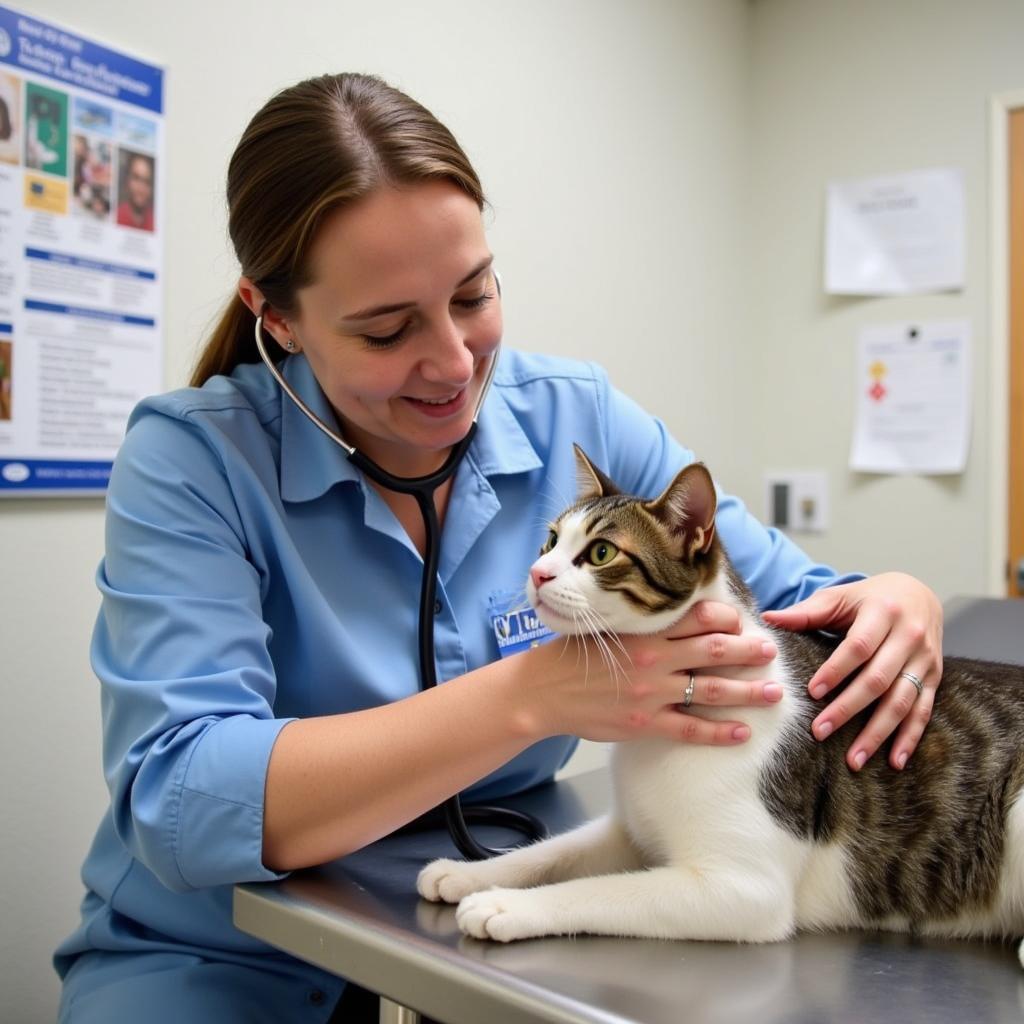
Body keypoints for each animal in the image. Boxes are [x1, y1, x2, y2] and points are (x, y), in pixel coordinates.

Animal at [415, 444, 1024, 962]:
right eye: (550, 541)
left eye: (601, 552)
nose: (537, 573)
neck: (655, 738)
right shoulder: (627, 830)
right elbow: (554, 851)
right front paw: (467, 874)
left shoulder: (741, 890)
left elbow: (602, 890)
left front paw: (506, 904)